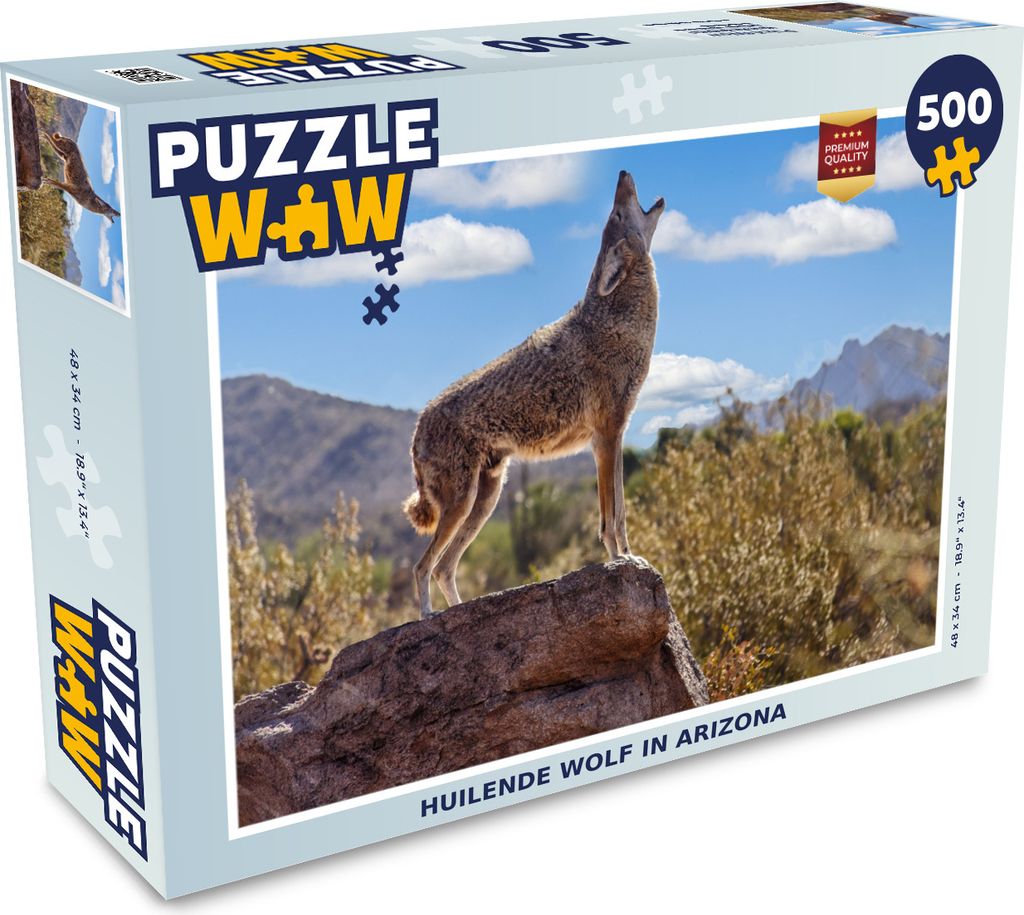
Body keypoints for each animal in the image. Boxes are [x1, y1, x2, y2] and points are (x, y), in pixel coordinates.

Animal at [403, 170, 665, 617]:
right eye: (615, 212)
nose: (622, 174)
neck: (618, 323)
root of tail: (417, 428)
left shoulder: (613, 437)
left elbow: (619, 513)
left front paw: (631, 557)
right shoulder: (606, 439)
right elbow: (611, 519)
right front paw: (621, 559)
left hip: (484, 499)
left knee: (443, 567)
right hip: (464, 502)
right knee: (424, 567)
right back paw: (429, 618)